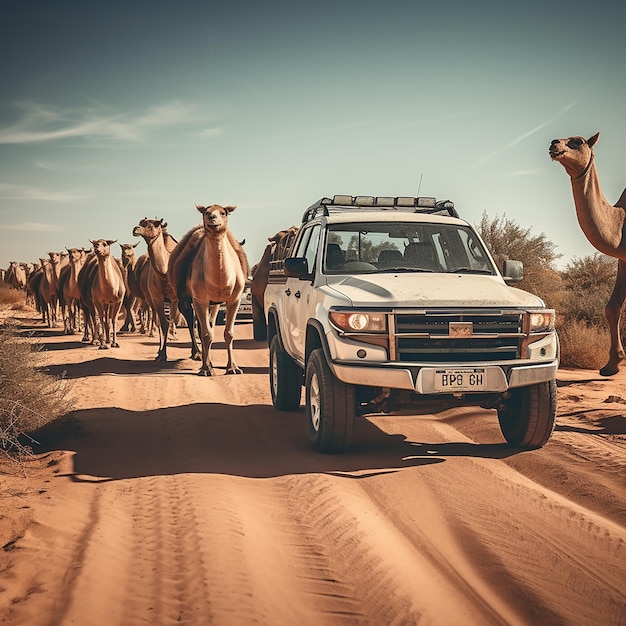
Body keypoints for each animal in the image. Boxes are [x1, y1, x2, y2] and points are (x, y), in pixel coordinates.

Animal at [171, 204, 249, 376]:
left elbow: (228, 333)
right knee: (192, 323)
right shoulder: (200, 299)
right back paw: (199, 356)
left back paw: (209, 360)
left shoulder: (234, 299)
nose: (212, 218)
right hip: (184, 299)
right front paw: (206, 369)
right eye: (206, 212)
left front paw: (233, 367)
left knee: (207, 325)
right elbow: (206, 334)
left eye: (223, 212)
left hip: (214, 304)